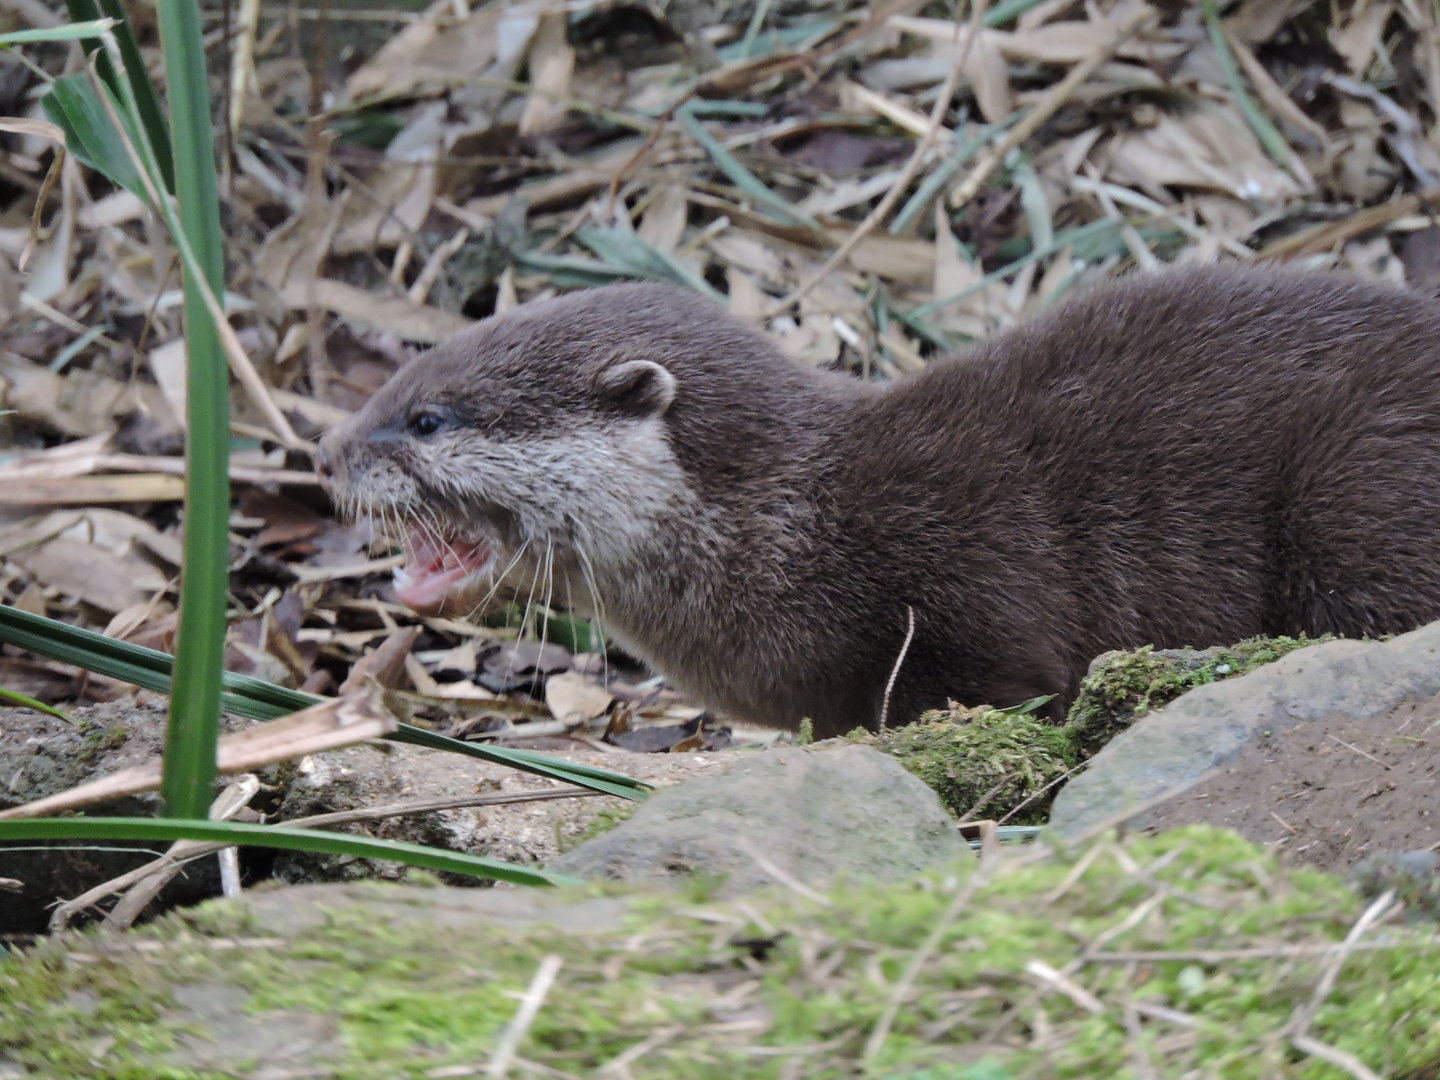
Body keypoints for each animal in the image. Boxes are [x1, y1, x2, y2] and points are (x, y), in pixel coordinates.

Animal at [315, 265, 1440, 737]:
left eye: (430, 419)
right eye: (398, 380)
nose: (327, 455)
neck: (796, 534)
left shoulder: (971, 584)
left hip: (1362, 488)